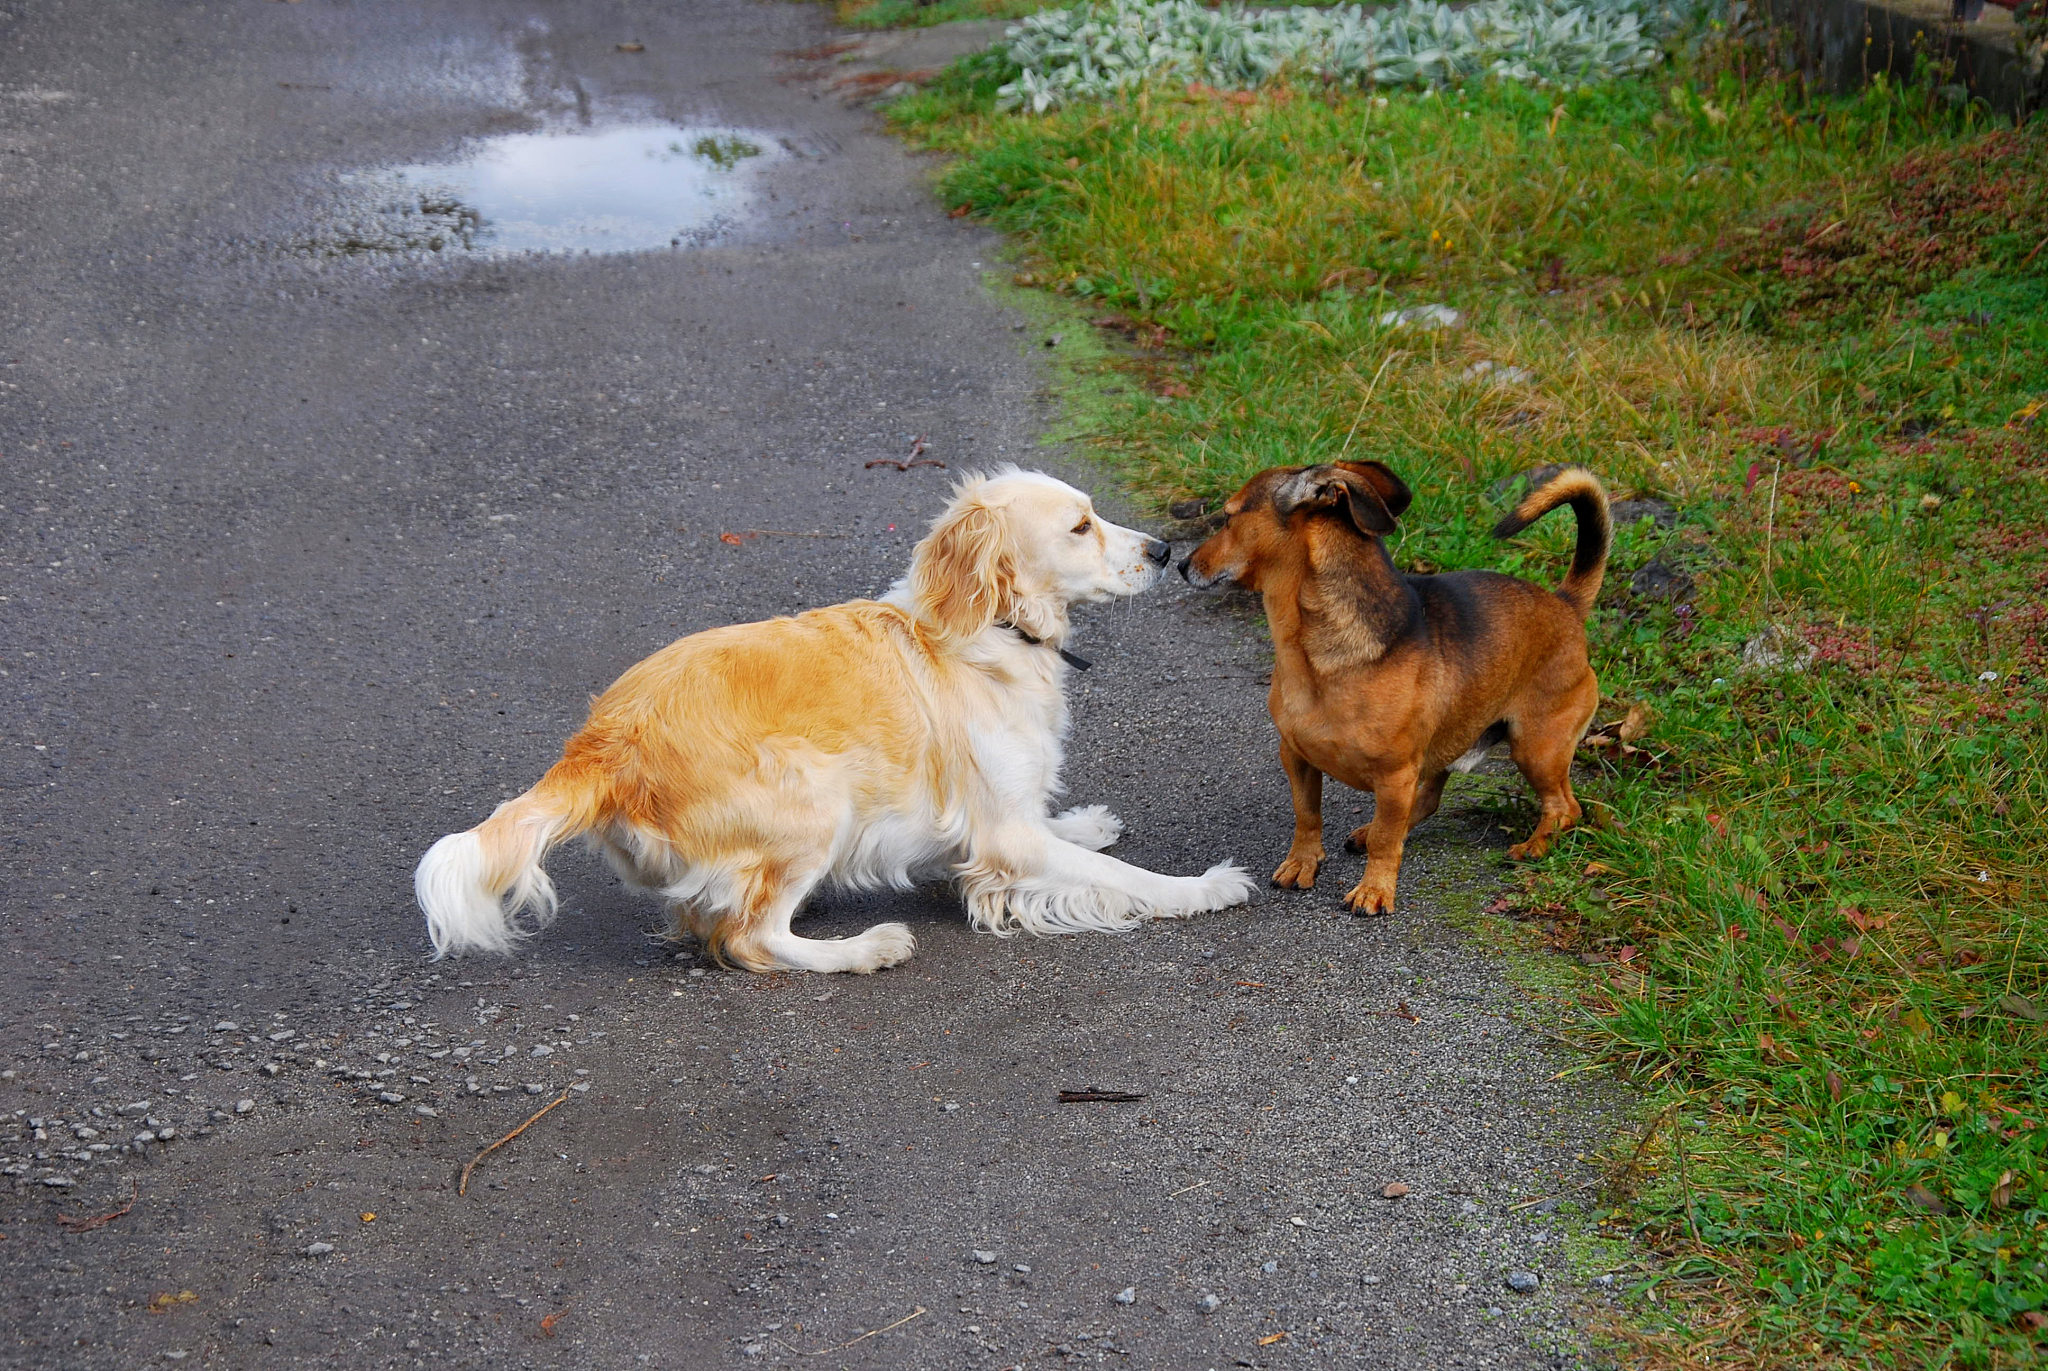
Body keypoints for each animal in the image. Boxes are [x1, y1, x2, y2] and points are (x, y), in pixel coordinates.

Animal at [411, 471, 1245, 971]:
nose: (1165, 549)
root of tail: (598, 747)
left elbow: (1065, 838)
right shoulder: (1004, 838)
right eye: (1079, 527)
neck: (995, 630)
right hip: (818, 799)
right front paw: (1202, 887)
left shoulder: (998, 821)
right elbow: (1122, 877)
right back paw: (864, 948)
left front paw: (1087, 823)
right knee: (751, 938)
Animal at [1179, 465, 1605, 914]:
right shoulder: (1296, 757)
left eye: (1228, 518)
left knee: (1564, 807)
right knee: (1428, 800)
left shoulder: (1395, 775)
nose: (1182, 563)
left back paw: (1536, 845)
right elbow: (1307, 815)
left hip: (1536, 749)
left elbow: (1387, 840)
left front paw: (1375, 889)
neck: (1312, 652)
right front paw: (1302, 863)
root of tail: (1566, 604)